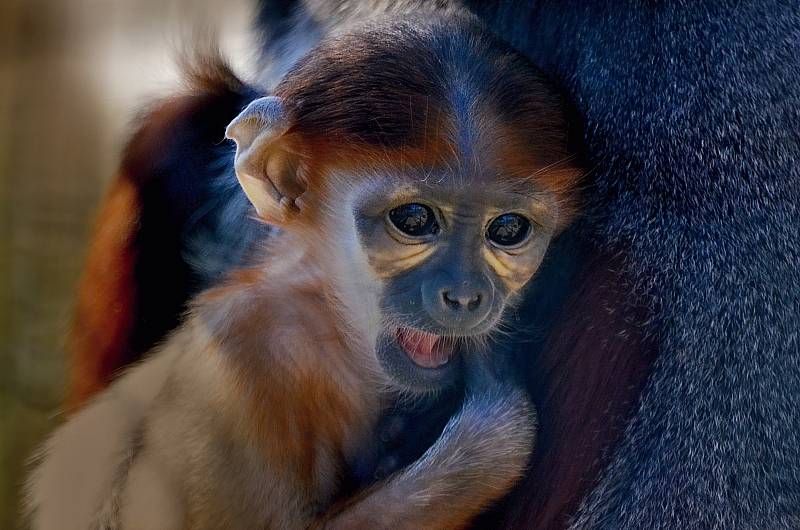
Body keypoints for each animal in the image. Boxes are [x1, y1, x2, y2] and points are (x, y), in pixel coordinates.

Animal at [21, 9, 580, 528]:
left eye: (507, 229)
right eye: (414, 219)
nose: (465, 295)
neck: (332, 327)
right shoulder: (244, 363)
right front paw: (493, 434)